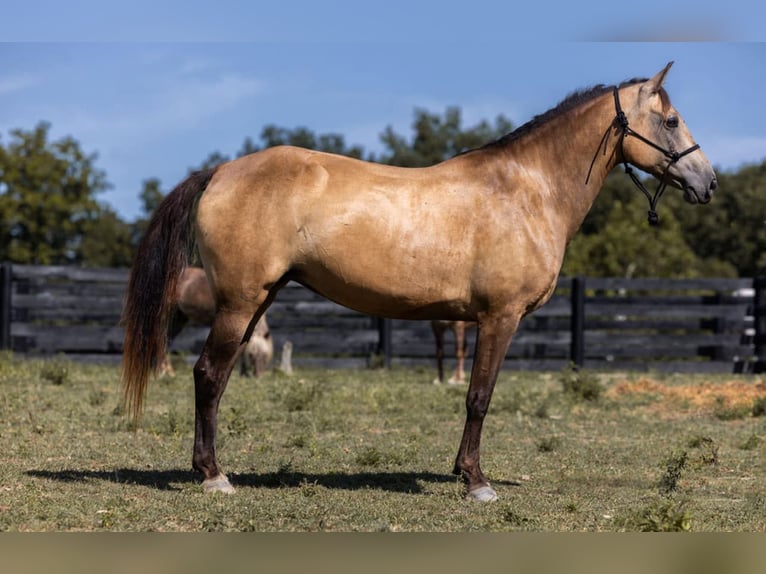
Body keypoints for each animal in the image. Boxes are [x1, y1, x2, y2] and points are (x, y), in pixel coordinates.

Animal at [121, 64, 720, 504]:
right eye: (671, 121)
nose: (709, 182)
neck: (526, 191)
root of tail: (220, 171)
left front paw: (462, 472)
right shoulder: (498, 318)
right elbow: (479, 397)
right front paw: (476, 482)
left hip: (254, 302)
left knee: (217, 376)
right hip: (239, 304)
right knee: (208, 376)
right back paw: (213, 475)